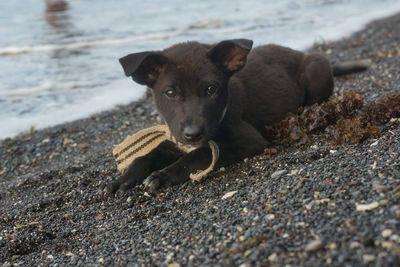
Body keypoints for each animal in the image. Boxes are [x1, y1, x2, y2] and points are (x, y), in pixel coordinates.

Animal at [108, 38, 364, 194]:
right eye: (170, 92)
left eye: (211, 89)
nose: (193, 134)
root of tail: (300, 52)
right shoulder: (176, 135)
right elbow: (150, 153)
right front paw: (125, 177)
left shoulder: (249, 139)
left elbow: (199, 154)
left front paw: (163, 175)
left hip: (316, 67)